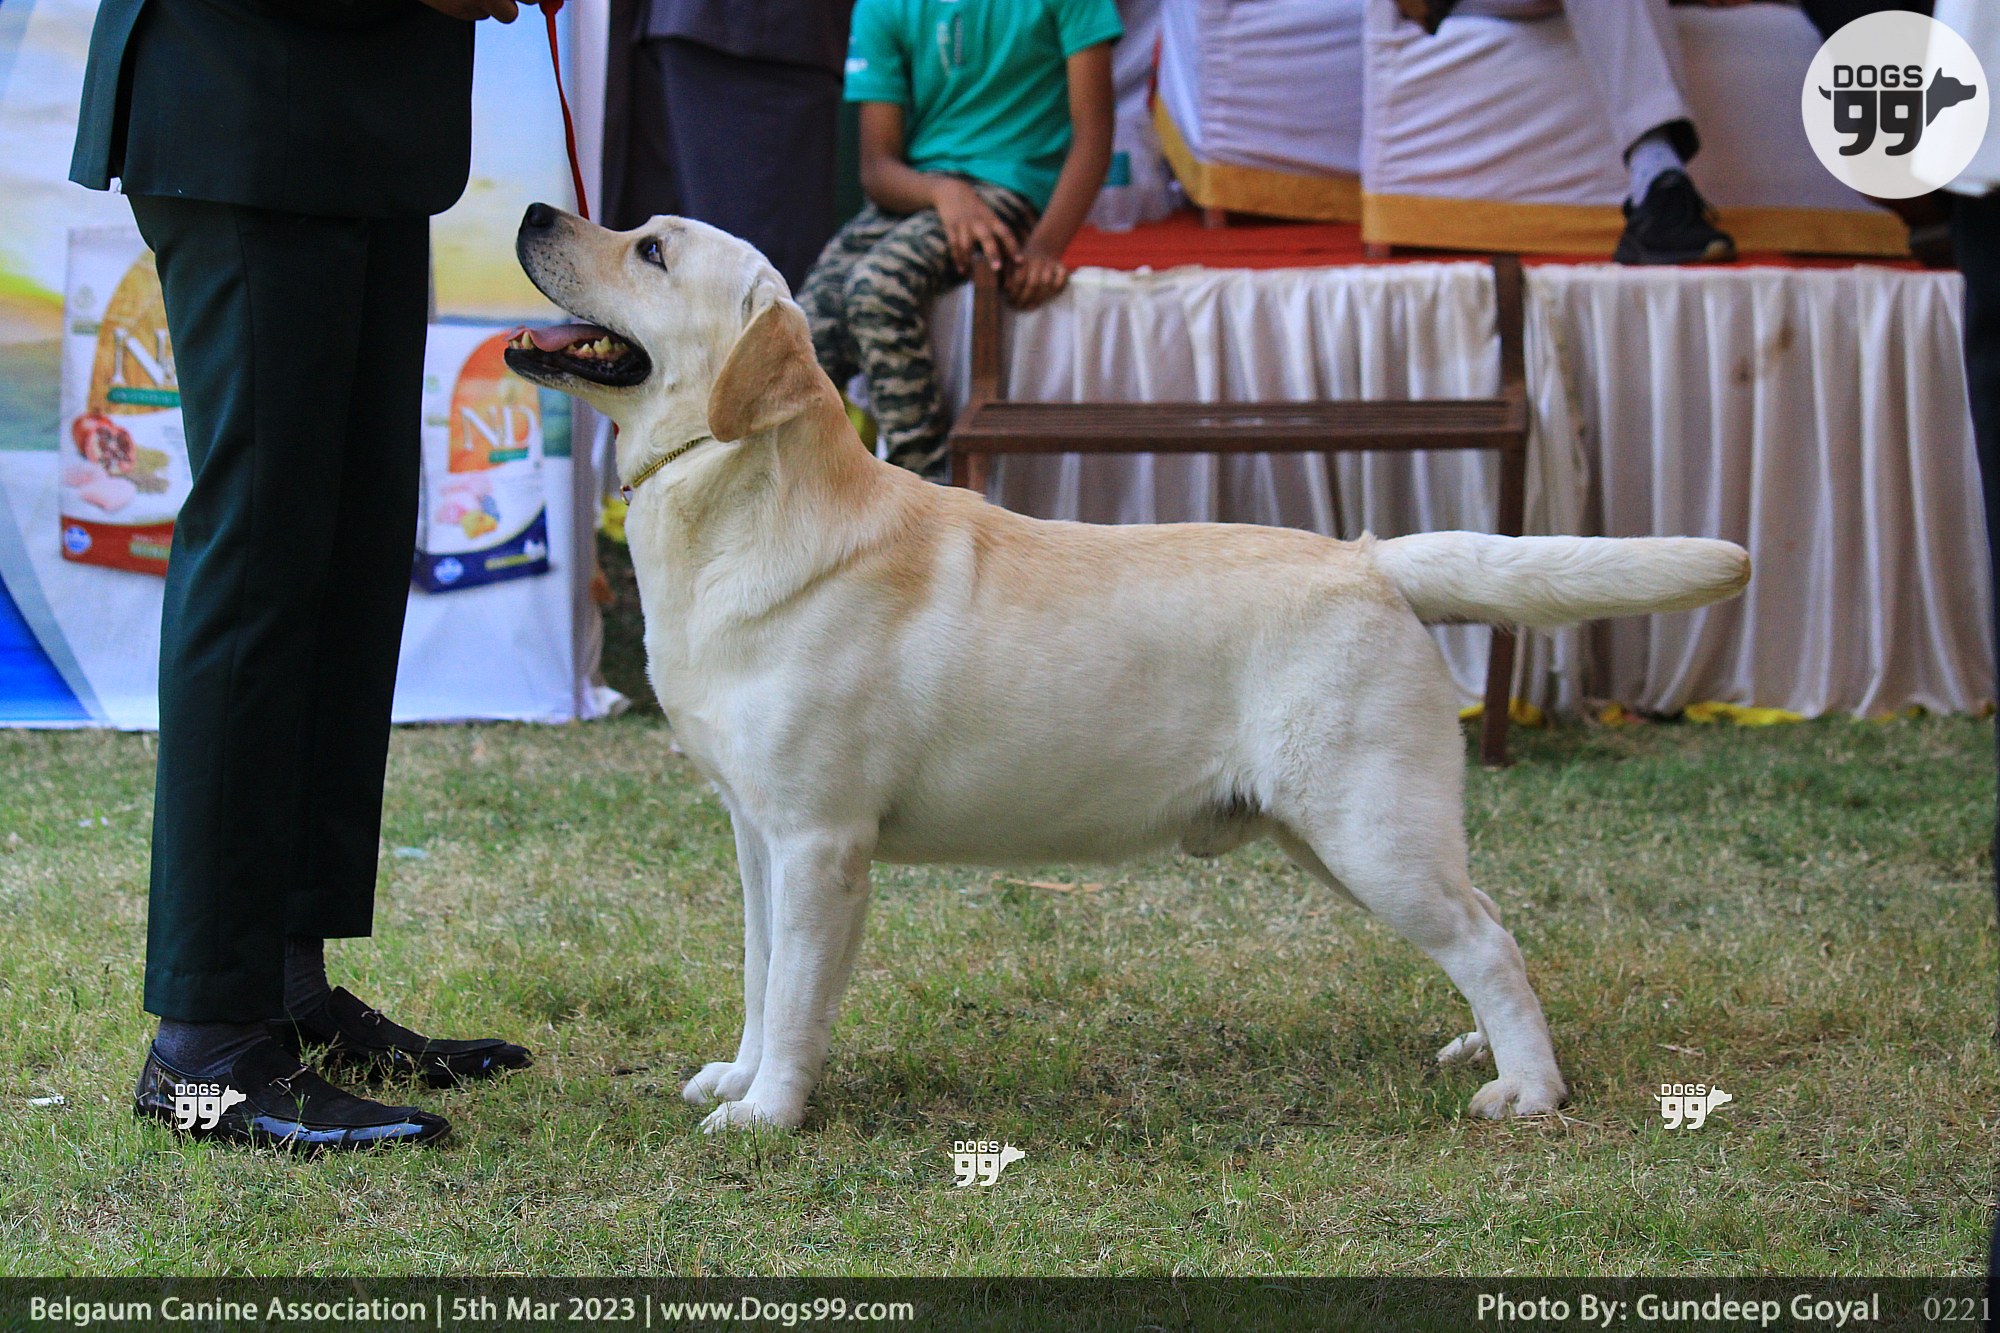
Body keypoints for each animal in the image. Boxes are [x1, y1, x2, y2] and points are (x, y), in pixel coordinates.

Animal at [505, 203, 1750, 1132]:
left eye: (650, 249)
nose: (531, 211)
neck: (738, 501)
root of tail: (1368, 556)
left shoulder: (820, 841)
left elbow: (801, 994)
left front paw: (767, 1113)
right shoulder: (756, 833)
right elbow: (761, 975)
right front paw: (737, 1073)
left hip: (1366, 825)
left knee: (1487, 938)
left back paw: (1528, 1089)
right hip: (1346, 834)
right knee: (1483, 920)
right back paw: (1473, 1047)